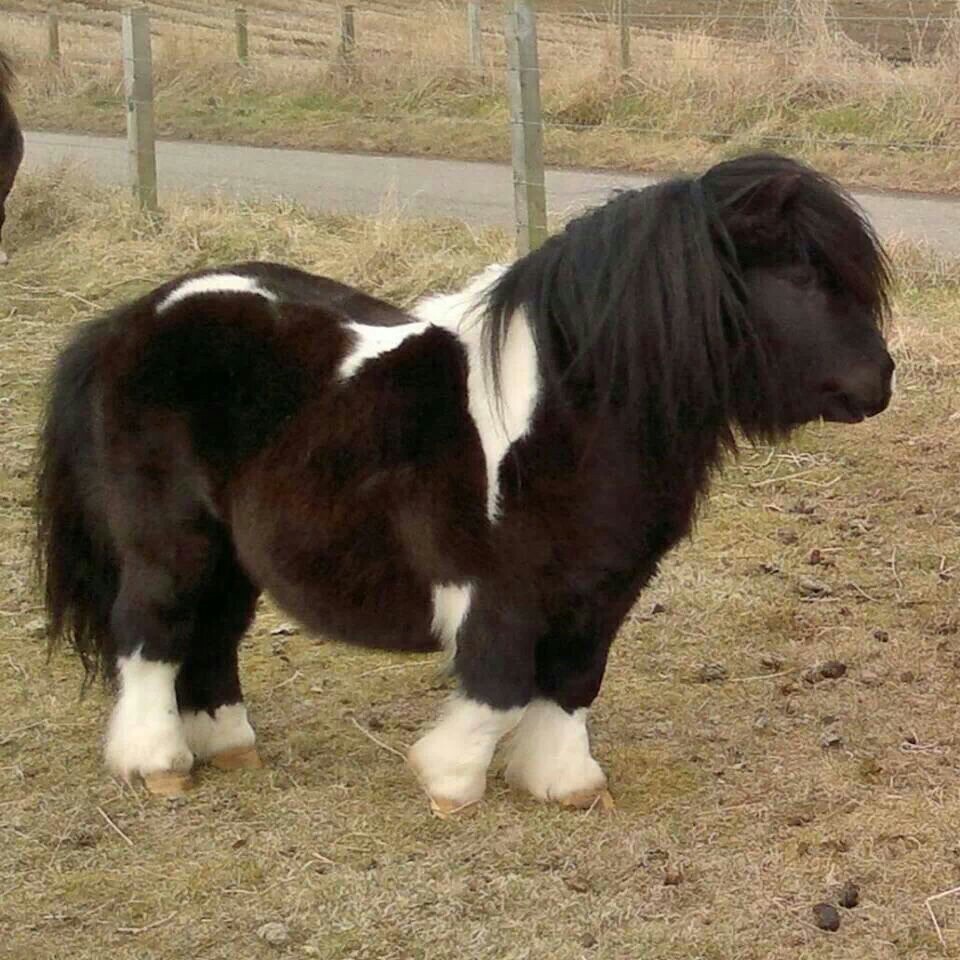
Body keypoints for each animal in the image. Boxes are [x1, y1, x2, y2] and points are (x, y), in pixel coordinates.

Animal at [35, 152, 895, 814]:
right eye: (801, 277)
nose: (882, 381)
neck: (570, 415)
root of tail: (130, 319)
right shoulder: (502, 590)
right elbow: (503, 680)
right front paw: (448, 779)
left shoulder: (601, 593)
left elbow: (575, 680)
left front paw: (566, 783)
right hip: (171, 539)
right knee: (153, 631)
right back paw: (157, 764)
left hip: (231, 554)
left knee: (211, 635)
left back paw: (229, 745)